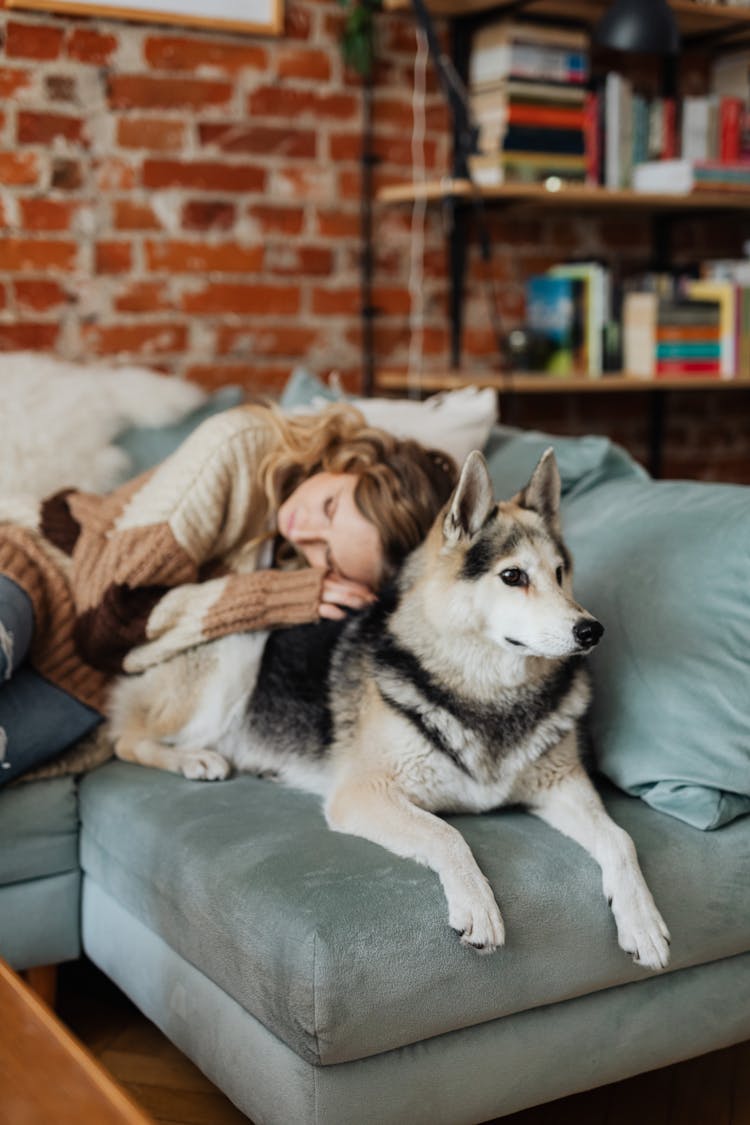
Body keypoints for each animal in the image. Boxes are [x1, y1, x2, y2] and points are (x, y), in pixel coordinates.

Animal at [110, 452, 674, 972]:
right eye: (513, 576)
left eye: (560, 574)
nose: (592, 631)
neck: (486, 690)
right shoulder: (366, 793)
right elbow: (448, 835)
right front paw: (478, 904)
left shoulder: (564, 785)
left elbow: (621, 839)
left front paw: (642, 919)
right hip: (235, 659)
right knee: (126, 738)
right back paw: (194, 760)